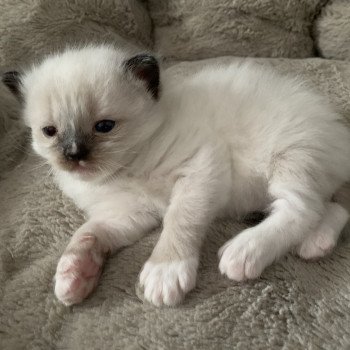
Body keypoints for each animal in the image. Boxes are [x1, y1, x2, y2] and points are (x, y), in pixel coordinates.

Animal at [3, 45, 350, 306]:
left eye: (104, 126)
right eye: (50, 131)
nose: (74, 155)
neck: (123, 171)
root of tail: (338, 128)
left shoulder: (199, 169)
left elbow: (179, 220)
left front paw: (164, 274)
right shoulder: (127, 215)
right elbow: (87, 234)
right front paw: (72, 278)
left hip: (291, 157)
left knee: (302, 209)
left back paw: (243, 252)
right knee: (332, 207)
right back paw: (315, 244)